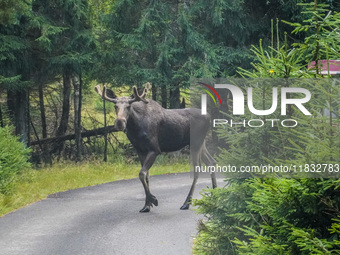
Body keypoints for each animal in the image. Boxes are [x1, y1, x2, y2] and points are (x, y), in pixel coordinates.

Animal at [95, 82, 218, 212]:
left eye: (129, 106)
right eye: (115, 106)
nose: (119, 122)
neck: (135, 128)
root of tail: (209, 116)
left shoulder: (154, 150)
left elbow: (142, 173)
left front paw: (153, 200)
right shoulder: (140, 150)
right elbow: (146, 175)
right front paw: (146, 205)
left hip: (195, 143)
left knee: (197, 168)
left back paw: (186, 203)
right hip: (200, 143)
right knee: (211, 161)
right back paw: (215, 193)